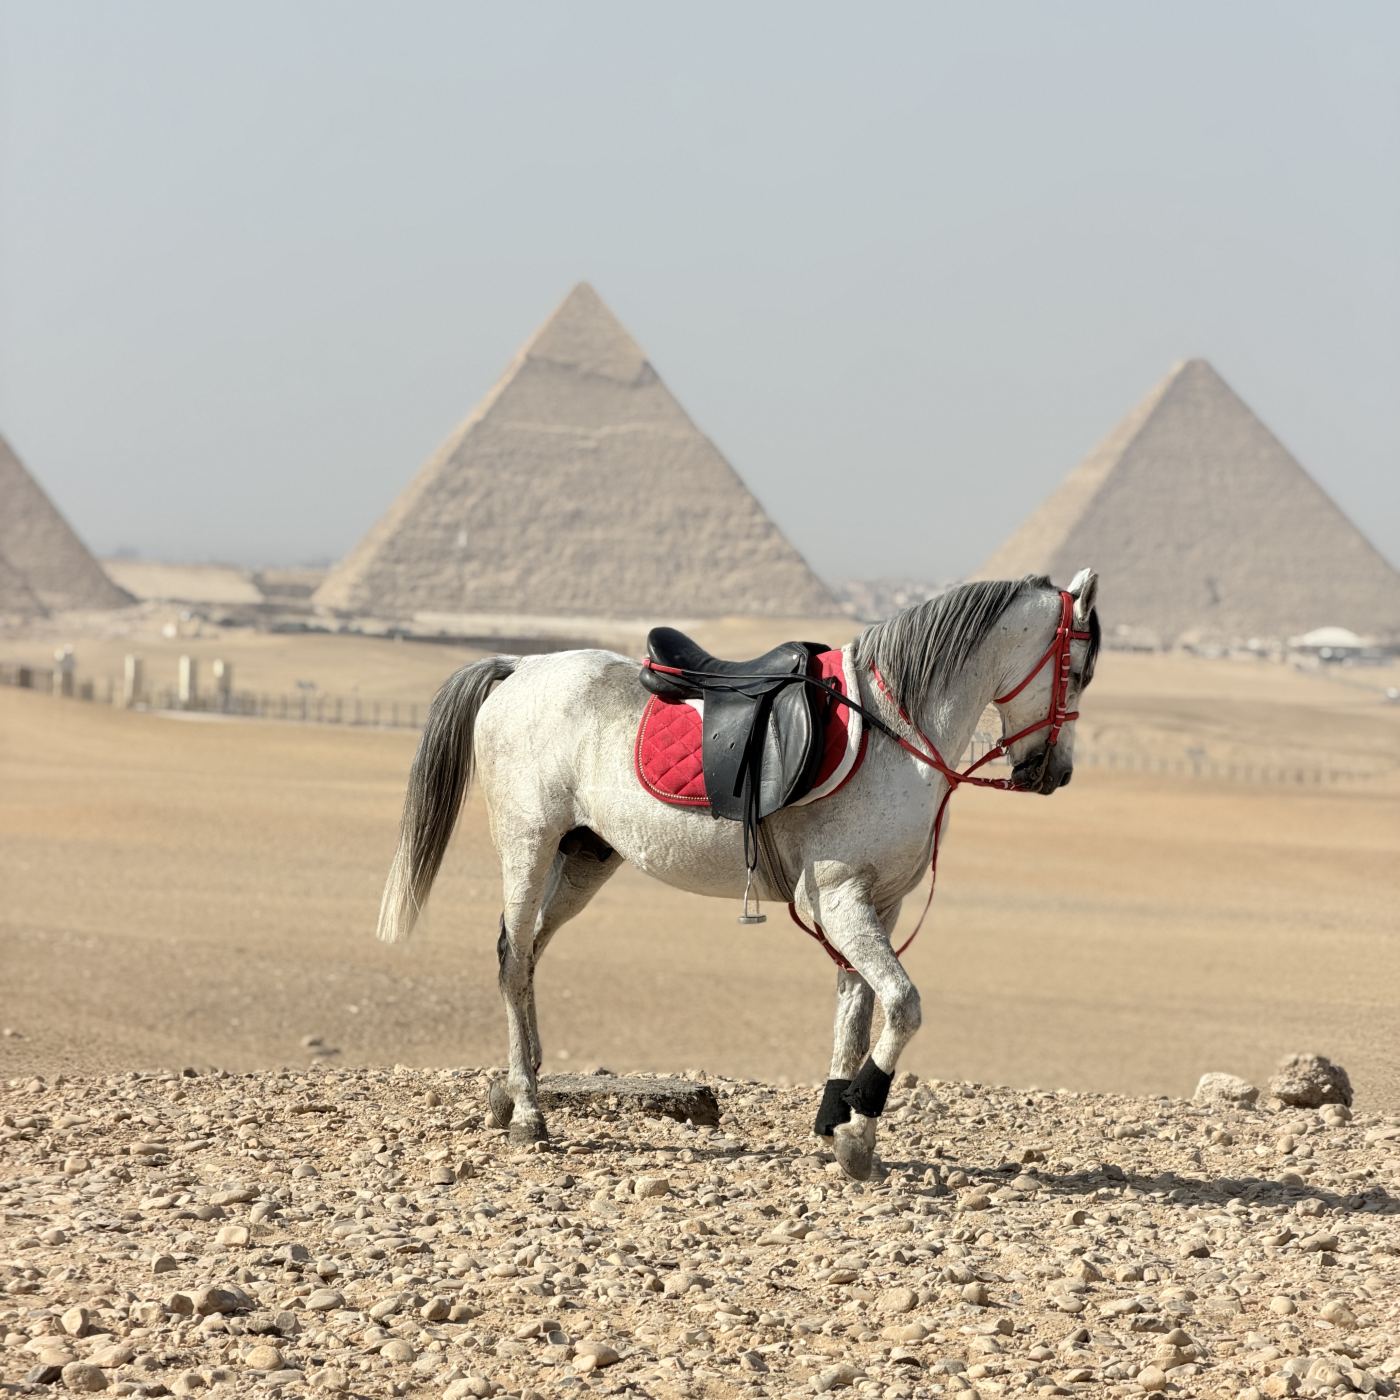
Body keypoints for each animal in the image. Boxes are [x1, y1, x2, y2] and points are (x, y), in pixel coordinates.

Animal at [375, 569, 1100, 1180]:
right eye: (1083, 670)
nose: (1055, 774)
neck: (895, 730)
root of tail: (520, 665)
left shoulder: (877, 903)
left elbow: (856, 1009)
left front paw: (840, 1124)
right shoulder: (839, 896)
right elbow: (902, 1004)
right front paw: (857, 1128)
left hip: (584, 857)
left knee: (525, 956)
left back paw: (510, 1091)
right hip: (528, 844)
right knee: (512, 956)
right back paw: (527, 1110)